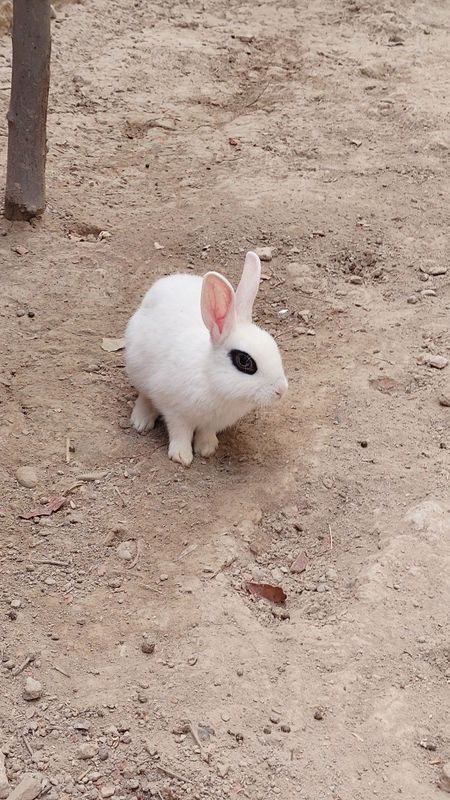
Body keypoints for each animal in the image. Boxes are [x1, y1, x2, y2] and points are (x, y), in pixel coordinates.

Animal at [125, 250, 288, 462]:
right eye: (244, 361)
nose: (281, 390)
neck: (212, 380)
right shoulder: (175, 411)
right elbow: (180, 433)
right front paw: (181, 456)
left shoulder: (212, 423)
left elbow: (206, 432)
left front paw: (207, 448)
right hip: (136, 366)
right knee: (144, 395)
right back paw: (141, 421)